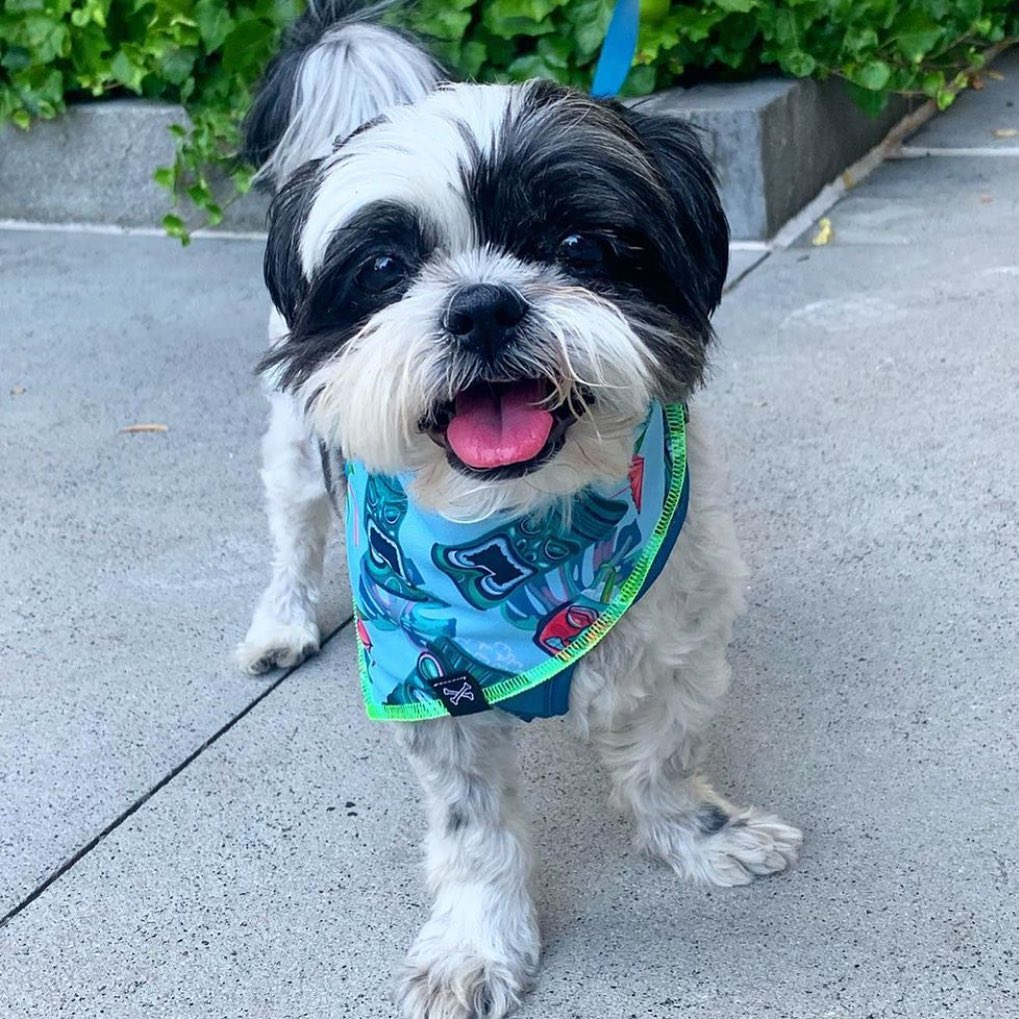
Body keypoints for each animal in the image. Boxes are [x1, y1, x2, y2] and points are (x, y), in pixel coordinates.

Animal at [234, 3, 798, 1014]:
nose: (483, 305)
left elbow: (660, 752)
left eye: (577, 247)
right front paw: (475, 942)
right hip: (297, 447)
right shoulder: (427, 678)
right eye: (385, 267)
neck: (522, 524)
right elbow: (473, 830)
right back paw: (280, 623)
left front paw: (696, 834)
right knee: (294, 532)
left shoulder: (678, 629)